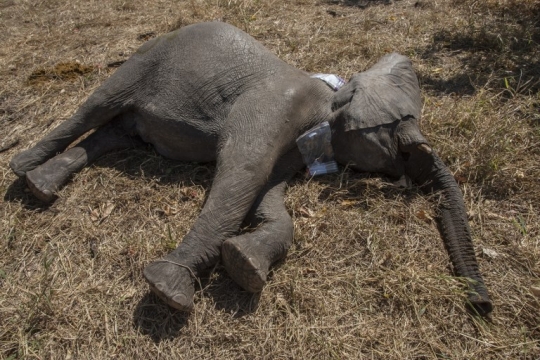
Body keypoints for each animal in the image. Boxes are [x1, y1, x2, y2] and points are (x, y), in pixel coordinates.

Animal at [9, 21, 494, 316]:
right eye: (402, 142)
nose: (483, 306)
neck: (330, 96)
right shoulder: (274, 106)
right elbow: (240, 173)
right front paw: (169, 290)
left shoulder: (292, 152)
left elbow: (267, 200)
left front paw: (244, 264)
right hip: (144, 59)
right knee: (95, 108)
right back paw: (22, 168)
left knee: (112, 134)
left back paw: (40, 185)